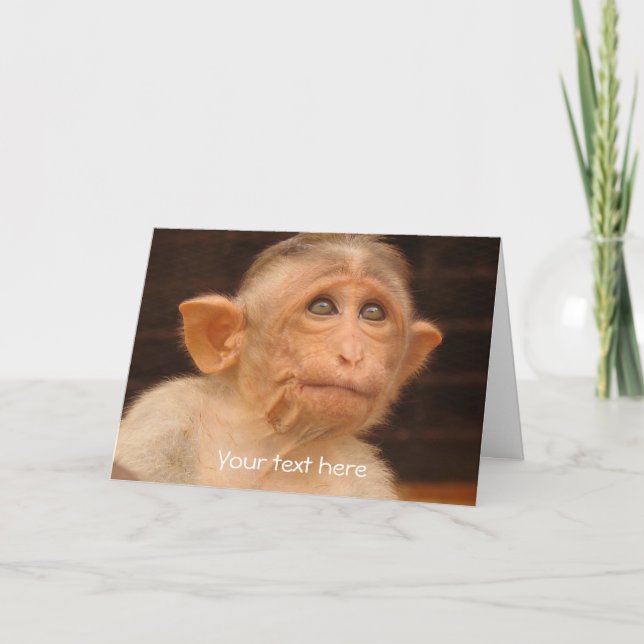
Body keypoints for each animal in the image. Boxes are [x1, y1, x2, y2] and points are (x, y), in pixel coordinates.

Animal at [111, 233, 442, 501]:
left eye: (372, 313)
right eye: (322, 307)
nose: (353, 354)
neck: (269, 440)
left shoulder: (367, 476)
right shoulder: (163, 418)